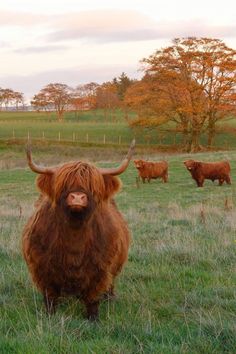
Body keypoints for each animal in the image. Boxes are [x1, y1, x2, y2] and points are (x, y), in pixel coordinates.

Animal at [23, 140, 136, 320]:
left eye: (92, 186)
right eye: (64, 184)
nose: (77, 197)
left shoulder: (100, 270)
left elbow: (93, 298)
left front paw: (93, 319)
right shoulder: (43, 269)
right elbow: (50, 297)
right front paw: (50, 316)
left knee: (111, 284)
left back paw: (111, 298)